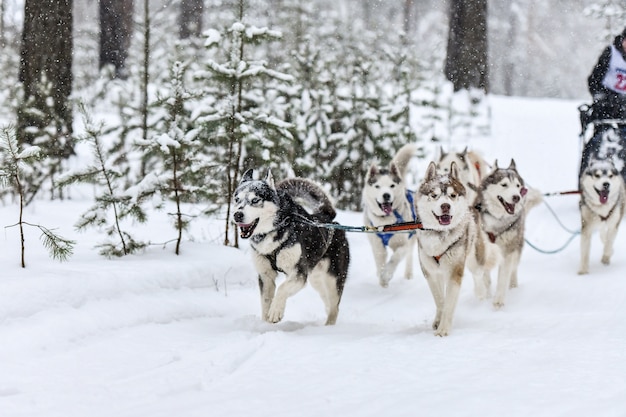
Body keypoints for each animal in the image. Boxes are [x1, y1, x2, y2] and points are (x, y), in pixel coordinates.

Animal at [234, 169, 348, 324]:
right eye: (237, 200)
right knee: (329, 303)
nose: (237, 215)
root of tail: (327, 217)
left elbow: (282, 288)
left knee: (334, 307)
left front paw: (275, 311)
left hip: (332, 279)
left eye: (255, 200)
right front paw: (265, 323)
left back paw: (328, 326)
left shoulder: (299, 274)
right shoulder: (265, 276)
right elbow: (265, 301)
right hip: (316, 279)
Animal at [358, 143, 416, 286]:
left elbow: (395, 257)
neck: (386, 223)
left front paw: (387, 274)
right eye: (377, 186)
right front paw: (382, 280)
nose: (386, 195)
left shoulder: (403, 244)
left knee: (409, 256)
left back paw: (408, 275)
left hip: (412, 239)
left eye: (392, 185)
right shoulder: (377, 246)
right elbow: (380, 263)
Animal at [414, 161, 492, 336]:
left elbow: (449, 303)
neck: (440, 235)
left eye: (453, 195)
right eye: (434, 195)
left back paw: (482, 294)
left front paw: (443, 329)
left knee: (480, 275)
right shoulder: (430, 272)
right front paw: (439, 320)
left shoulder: (455, 270)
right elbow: (440, 300)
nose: (445, 206)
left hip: (473, 258)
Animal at [470, 158, 540, 306]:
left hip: (517, 245)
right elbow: (479, 270)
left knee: (513, 269)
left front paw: (498, 300)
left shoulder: (508, 249)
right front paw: (481, 292)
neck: (498, 220)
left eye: (518, 186)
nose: (516, 197)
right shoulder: (479, 245)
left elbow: (503, 276)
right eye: (504, 185)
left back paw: (512, 286)